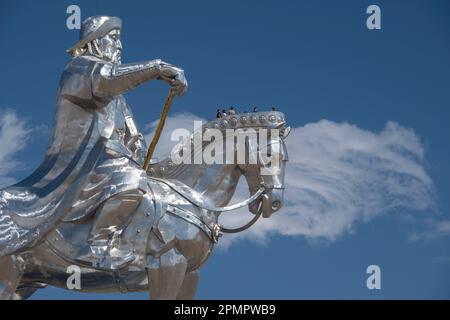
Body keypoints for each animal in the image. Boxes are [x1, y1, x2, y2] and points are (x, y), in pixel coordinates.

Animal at [0, 111, 288, 298]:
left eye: (286, 159)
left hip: (26, 280)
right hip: (10, 272)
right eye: (269, 154)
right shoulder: (168, 264)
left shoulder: (190, 274)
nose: (274, 203)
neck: (192, 197)